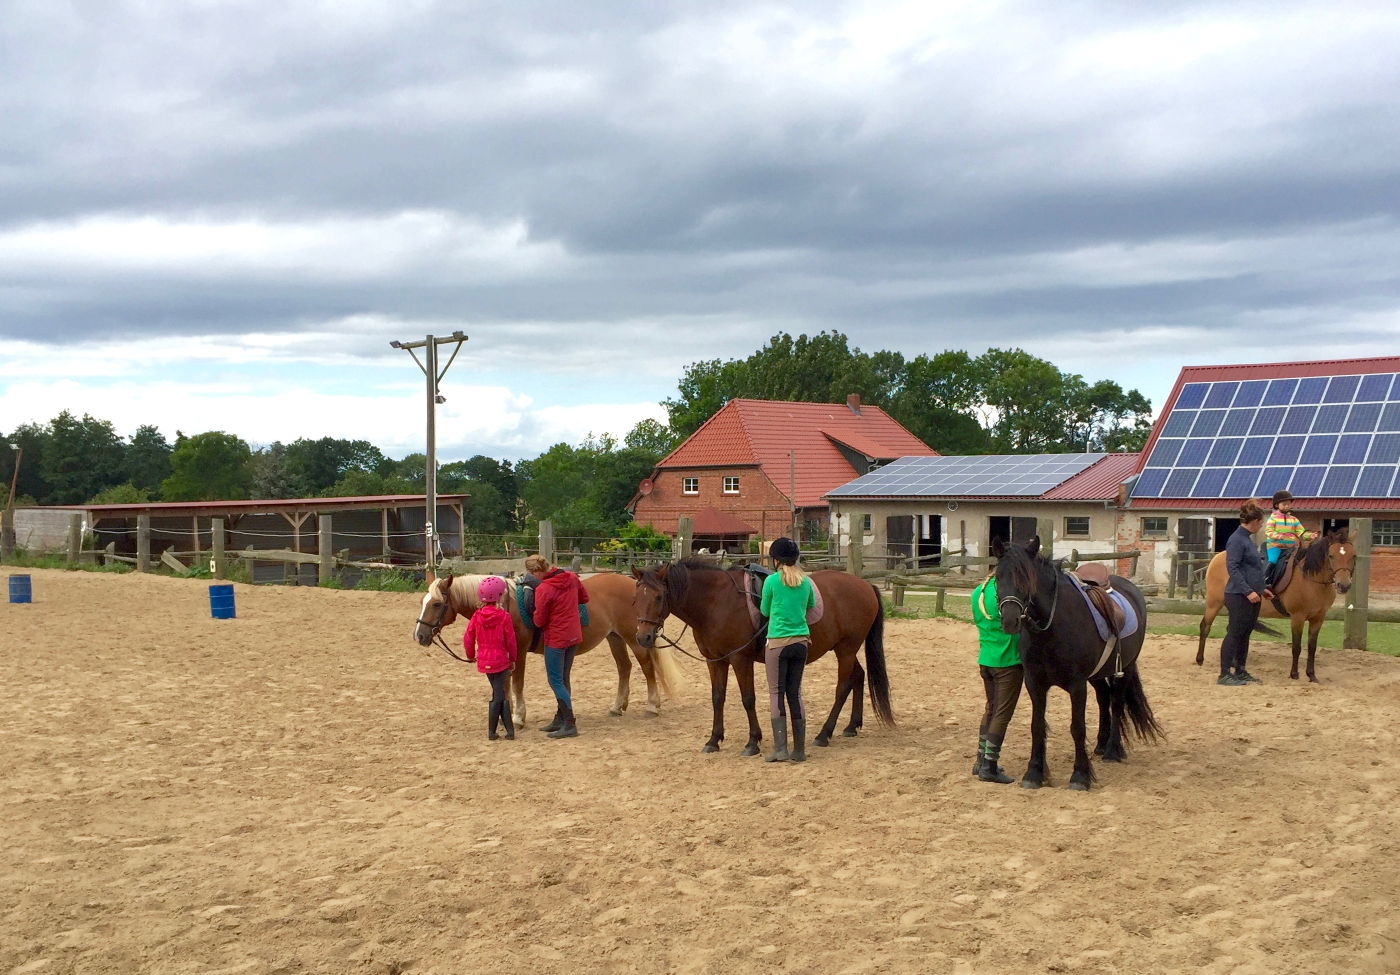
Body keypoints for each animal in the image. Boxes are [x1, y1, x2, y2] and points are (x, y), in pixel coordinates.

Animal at [408, 571, 683, 722]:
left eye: (436, 604)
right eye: (423, 601)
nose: (419, 635)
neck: (507, 604)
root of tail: (633, 586)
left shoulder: (519, 651)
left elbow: (517, 683)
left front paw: (518, 716)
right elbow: (504, 684)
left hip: (634, 637)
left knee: (647, 668)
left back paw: (652, 705)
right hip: (614, 637)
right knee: (624, 668)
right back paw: (617, 707)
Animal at [630, 560, 890, 756]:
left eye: (659, 597)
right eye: (636, 598)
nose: (643, 637)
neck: (716, 601)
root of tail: (865, 585)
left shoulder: (740, 659)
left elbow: (748, 699)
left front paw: (752, 741)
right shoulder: (716, 661)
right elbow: (717, 698)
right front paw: (714, 740)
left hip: (846, 648)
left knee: (843, 687)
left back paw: (824, 734)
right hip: (844, 649)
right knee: (858, 676)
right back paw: (851, 726)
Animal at [996, 537, 1159, 790]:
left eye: (1026, 579)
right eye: (997, 577)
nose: (1010, 621)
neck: (1051, 630)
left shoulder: (1077, 686)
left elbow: (1078, 728)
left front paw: (1080, 776)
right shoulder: (1034, 683)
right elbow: (1037, 726)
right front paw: (1034, 773)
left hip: (1125, 667)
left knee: (1116, 703)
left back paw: (1112, 750)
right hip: (1097, 675)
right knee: (1104, 699)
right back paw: (1101, 745)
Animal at [1198, 529, 1349, 680]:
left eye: (1352, 555)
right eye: (1331, 555)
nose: (1344, 585)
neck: (1310, 579)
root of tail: (1217, 557)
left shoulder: (1318, 618)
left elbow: (1312, 647)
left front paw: (1311, 675)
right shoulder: (1297, 617)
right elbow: (1296, 647)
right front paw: (1294, 674)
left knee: (1234, 631)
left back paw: (1233, 663)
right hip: (1214, 604)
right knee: (1205, 627)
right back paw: (1200, 659)